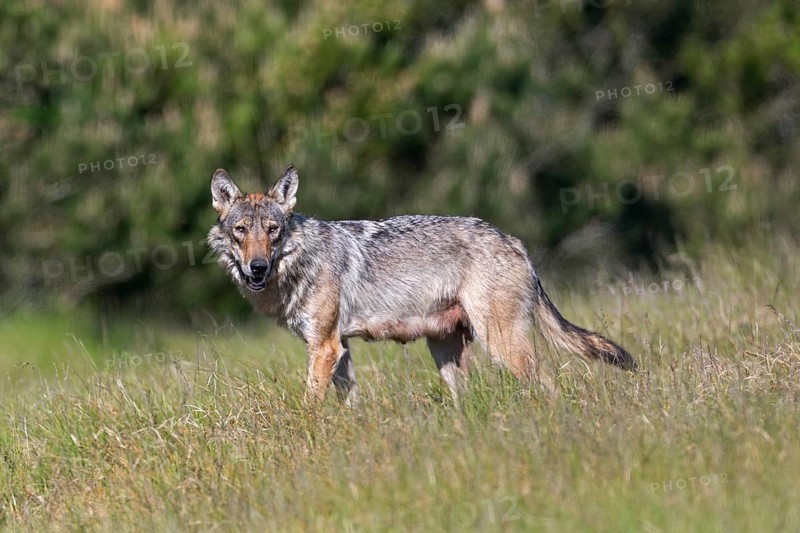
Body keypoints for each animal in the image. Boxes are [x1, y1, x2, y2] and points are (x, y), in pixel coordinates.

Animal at [208, 165, 636, 404]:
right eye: (241, 231)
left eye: (273, 230)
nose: (257, 268)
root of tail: (515, 241)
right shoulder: (339, 348)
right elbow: (352, 404)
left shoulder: (325, 346)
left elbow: (310, 404)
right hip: (446, 350)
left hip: (501, 346)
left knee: (547, 385)